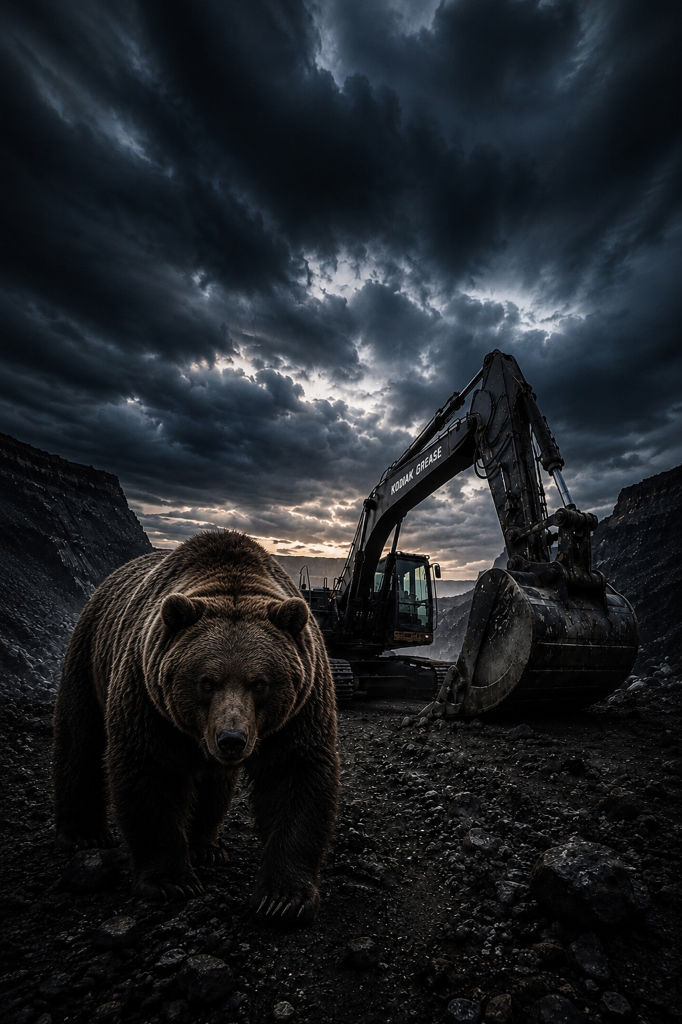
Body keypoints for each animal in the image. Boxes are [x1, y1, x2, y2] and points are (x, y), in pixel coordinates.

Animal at [52, 530, 339, 924]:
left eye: (259, 683)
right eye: (207, 681)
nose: (232, 739)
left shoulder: (300, 707)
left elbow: (296, 775)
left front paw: (283, 898)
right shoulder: (148, 697)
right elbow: (150, 774)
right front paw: (171, 881)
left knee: (215, 783)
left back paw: (206, 845)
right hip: (91, 652)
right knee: (81, 736)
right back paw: (85, 834)